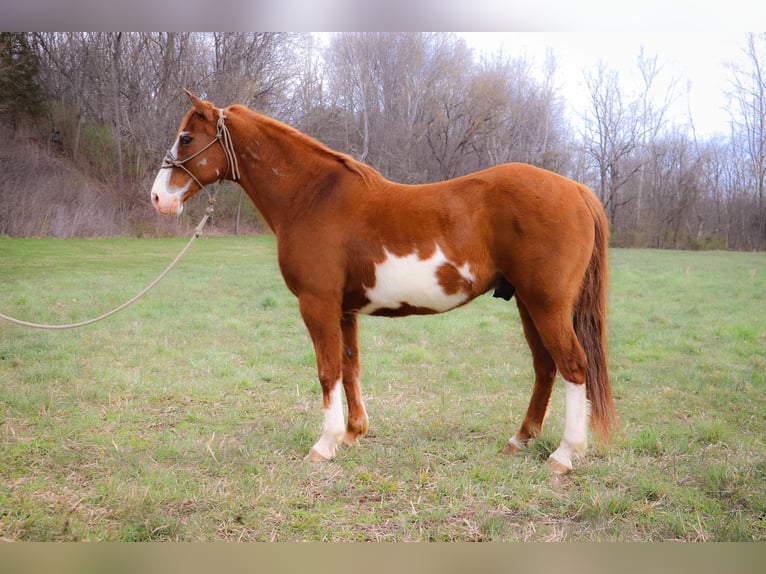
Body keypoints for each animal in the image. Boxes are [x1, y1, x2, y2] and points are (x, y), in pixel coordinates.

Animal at [150, 91, 616, 476]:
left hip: (546, 304)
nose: (159, 199)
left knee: (573, 365)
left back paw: (565, 455)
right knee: (545, 366)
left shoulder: (317, 303)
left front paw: (324, 445)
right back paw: (519, 440)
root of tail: (576, 189)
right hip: (526, 303)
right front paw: (353, 434)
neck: (312, 197)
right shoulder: (343, 307)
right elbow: (350, 365)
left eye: (186, 138)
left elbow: (327, 370)